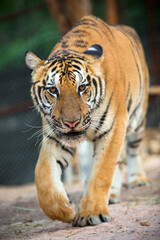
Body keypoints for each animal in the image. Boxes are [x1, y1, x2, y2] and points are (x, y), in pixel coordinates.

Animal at [25, 15, 151, 227]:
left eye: (82, 87)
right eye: (53, 90)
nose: (71, 123)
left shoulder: (114, 127)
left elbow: (101, 173)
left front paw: (91, 213)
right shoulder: (55, 137)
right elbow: (43, 177)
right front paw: (66, 209)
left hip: (137, 118)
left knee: (133, 150)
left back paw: (138, 179)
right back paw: (111, 195)